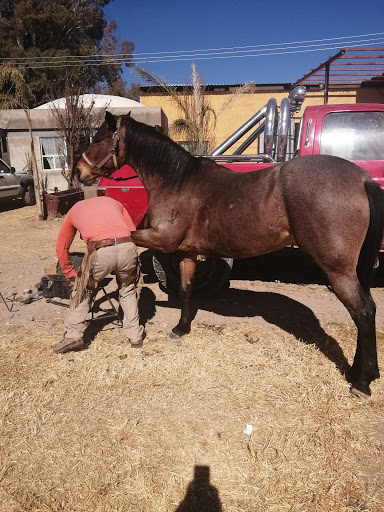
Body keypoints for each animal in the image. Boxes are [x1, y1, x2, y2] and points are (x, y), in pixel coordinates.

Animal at [77, 112, 384, 396]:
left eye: (98, 138)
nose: (79, 172)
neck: (177, 182)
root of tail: (362, 178)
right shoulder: (186, 252)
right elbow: (186, 291)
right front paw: (181, 328)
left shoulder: (162, 241)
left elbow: (110, 240)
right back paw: (359, 372)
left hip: (338, 269)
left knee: (363, 312)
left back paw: (362, 382)